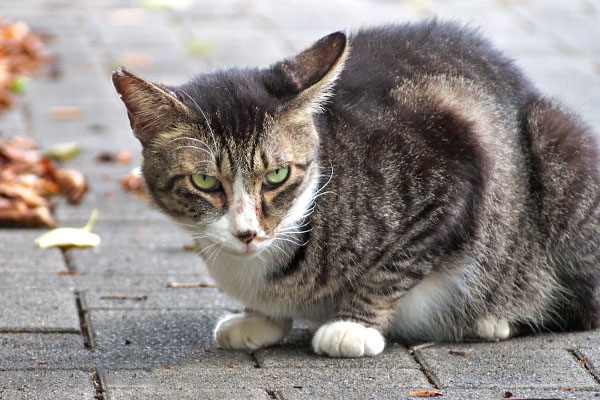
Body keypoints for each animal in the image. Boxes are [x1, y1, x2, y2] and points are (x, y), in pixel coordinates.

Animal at [113, 21, 600, 360]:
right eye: (204, 182)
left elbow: (398, 263)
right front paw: (260, 319)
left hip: (559, 148)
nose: (248, 233)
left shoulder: (451, 169)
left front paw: (353, 326)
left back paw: (497, 318)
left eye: (276, 176)